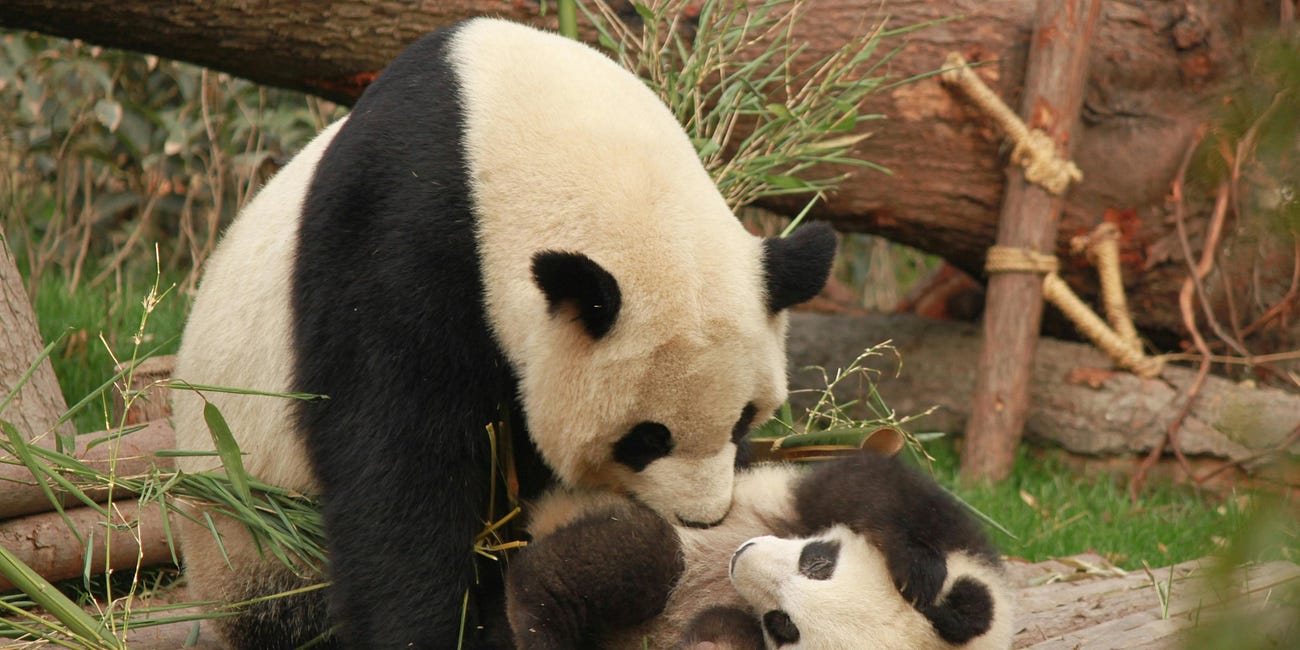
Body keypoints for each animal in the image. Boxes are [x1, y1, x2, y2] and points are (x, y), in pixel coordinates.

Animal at [170, 17, 837, 650]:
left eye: (744, 420)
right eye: (646, 438)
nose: (701, 518)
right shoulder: (397, 234)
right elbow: (396, 456)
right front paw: (422, 629)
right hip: (252, 530)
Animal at [506, 450, 1014, 649]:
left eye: (783, 625)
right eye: (818, 563)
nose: (741, 556)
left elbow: (723, 631)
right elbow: (871, 487)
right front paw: (916, 568)